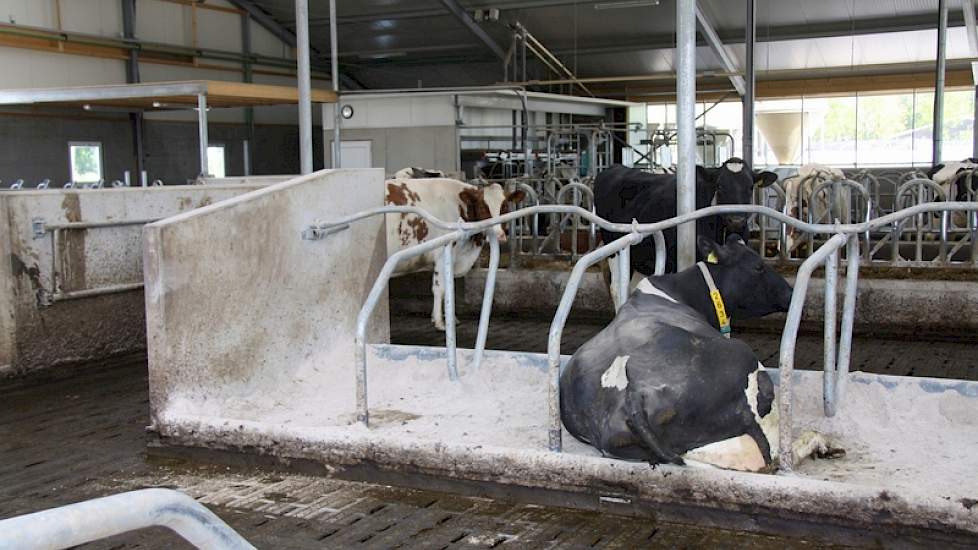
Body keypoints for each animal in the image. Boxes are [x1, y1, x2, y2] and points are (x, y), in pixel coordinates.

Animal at [386, 179, 528, 330]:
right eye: (483, 207)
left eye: (505, 207)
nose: (499, 235)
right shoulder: (443, 254)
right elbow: (440, 288)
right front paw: (440, 322)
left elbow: (450, 288)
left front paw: (450, 319)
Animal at [560, 235, 844, 472]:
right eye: (758, 266)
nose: (790, 294)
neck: (679, 291)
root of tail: (635, 396)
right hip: (752, 377)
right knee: (771, 455)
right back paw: (820, 442)